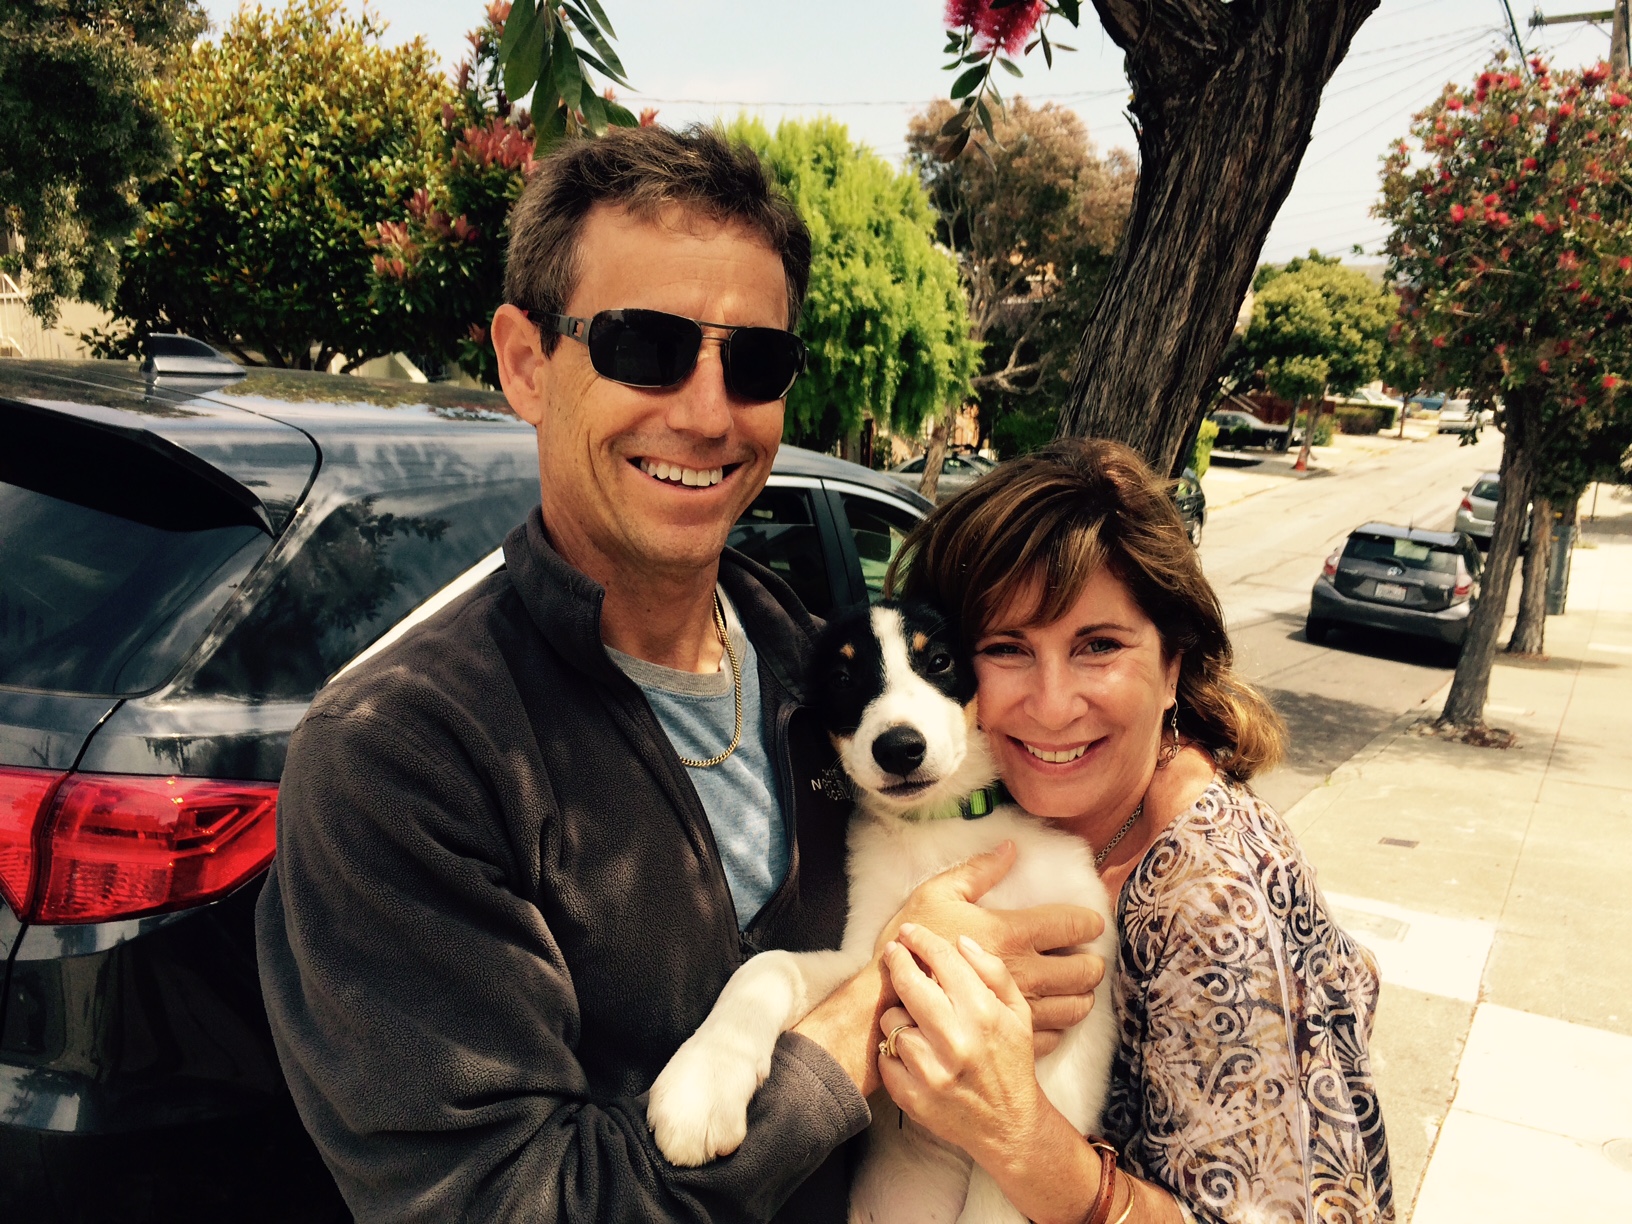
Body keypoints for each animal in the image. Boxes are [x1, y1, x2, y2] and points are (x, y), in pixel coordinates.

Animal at [646, 600, 1119, 1223]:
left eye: (939, 660)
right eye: (843, 678)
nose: (898, 748)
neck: (940, 829)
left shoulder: (1083, 1000)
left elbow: (1014, 1168)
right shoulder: (868, 953)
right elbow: (767, 965)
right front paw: (702, 1083)